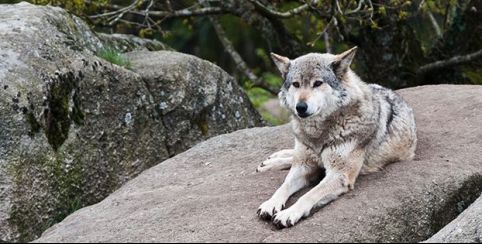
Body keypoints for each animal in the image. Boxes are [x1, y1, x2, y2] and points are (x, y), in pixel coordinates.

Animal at [256, 46, 418, 228]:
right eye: (296, 84)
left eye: (318, 83)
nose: (300, 107)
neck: (318, 134)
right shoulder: (303, 166)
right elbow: (284, 186)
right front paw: (270, 203)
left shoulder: (339, 174)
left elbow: (308, 195)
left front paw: (288, 213)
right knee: (294, 156)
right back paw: (271, 161)